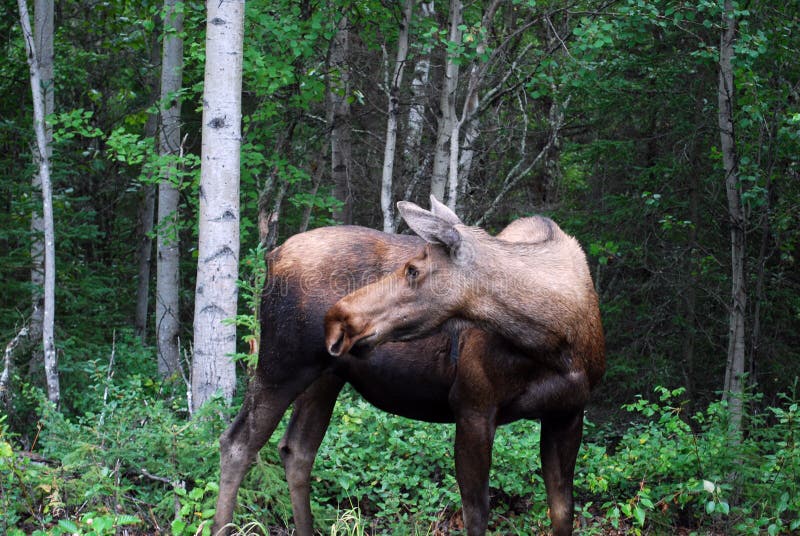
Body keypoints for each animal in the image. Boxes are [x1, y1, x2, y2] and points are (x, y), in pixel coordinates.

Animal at [212, 197, 600, 536]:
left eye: (413, 270)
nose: (337, 317)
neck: (554, 342)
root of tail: (272, 256)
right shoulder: (472, 405)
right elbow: (477, 513)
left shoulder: (568, 413)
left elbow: (562, 511)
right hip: (283, 362)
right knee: (237, 443)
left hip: (326, 375)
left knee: (296, 450)